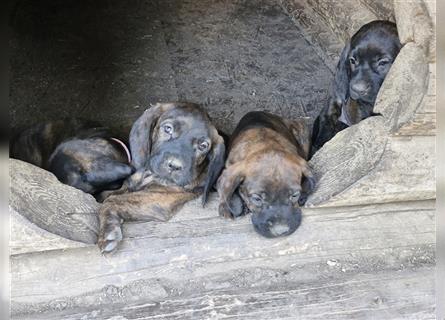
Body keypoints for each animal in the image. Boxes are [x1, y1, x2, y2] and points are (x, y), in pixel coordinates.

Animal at [95, 102, 224, 252]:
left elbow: (112, 200)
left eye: (203, 146)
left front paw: (108, 231)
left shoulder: (162, 196)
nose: (174, 166)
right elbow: (108, 195)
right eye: (168, 129)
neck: (149, 175)